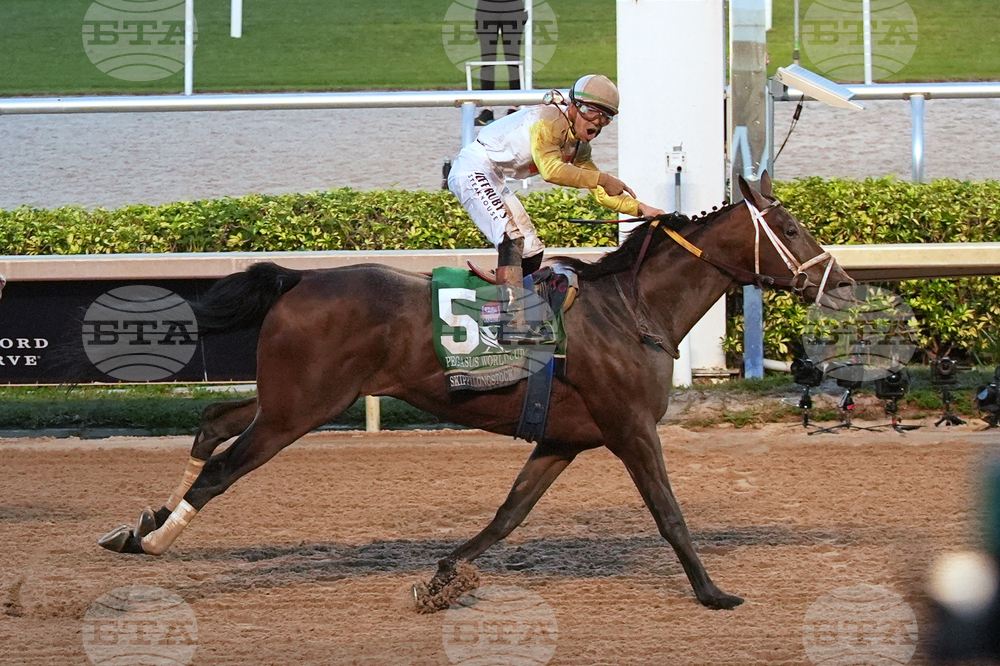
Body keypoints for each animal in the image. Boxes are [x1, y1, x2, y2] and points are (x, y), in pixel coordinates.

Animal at [99, 174, 855, 611]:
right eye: (792, 229)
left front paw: (442, 577)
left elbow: (505, 517)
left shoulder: (563, 439)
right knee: (224, 469)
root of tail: (299, 279)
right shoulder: (631, 429)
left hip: (290, 399)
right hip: (300, 411)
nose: (844, 284)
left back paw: (138, 524)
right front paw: (713, 592)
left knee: (212, 422)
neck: (632, 311)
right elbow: (670, 515)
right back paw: (154, 542)